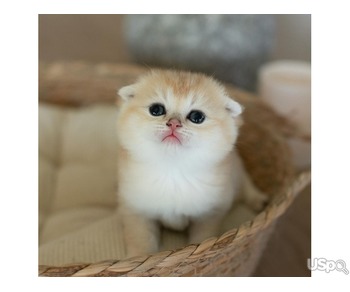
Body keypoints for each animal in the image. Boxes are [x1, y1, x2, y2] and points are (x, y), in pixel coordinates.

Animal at [116, 69, 266, 256]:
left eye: (197, 116)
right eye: (156, 109)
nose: (173, 123)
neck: (173, 170)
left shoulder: (208, 215)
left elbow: (203, 237)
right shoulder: (136, 211)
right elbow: (141, 239)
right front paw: (140, 256)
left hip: (237, 171)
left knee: (246, 184)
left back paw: (258, 200)